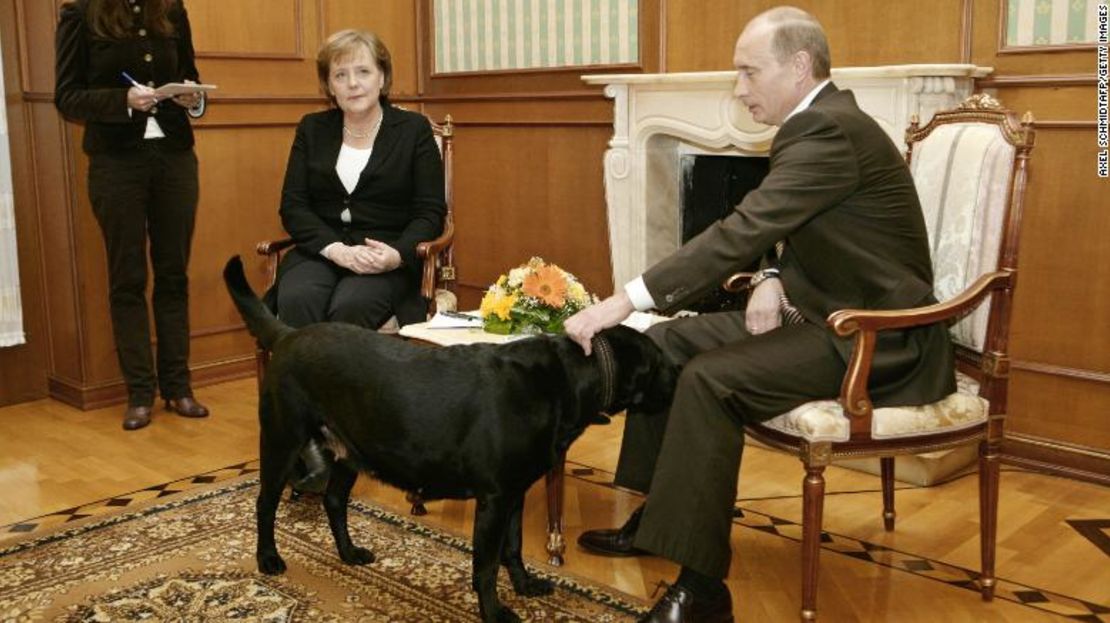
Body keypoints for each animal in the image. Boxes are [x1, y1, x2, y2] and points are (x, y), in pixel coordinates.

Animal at [220, 255, 670, 617]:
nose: (679, 372)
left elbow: (514, 547)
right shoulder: (494, 499)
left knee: (333, 501)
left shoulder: (515, 493)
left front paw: (524, 586)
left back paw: (347, 553)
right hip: (282, 440)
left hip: (350, 448)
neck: (564, 380)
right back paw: (268, 558)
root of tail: (288, 333)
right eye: (661, 363)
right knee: (265, 503)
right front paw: (495, 611)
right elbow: (485, 566)